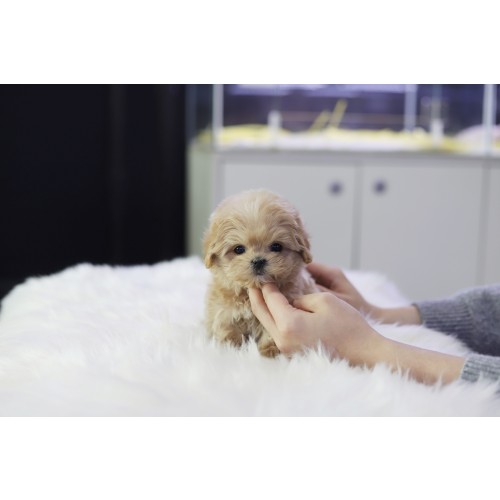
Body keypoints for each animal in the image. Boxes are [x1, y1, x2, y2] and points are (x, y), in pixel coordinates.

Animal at [203, 189, 319, 357]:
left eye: (277, 246)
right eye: (238, 249)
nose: (258, 261)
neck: (248, 293)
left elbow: (270, 331)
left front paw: (270, 349)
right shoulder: (222, 308)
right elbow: (226, 324)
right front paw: (229, 346)